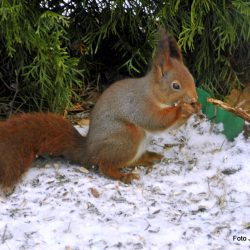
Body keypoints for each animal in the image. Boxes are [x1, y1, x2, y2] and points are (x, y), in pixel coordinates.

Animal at [0, 29, 199, 193]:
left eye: (191, 77)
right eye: (175, 86)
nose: (194, 98)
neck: (152, 92)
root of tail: (88, 152)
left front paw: (194, 109)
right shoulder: (140, 105)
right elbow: (155, 120)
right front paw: (182, 109)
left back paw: (148, 157)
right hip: (126, 137)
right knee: (106, 166)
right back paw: (124, 176)